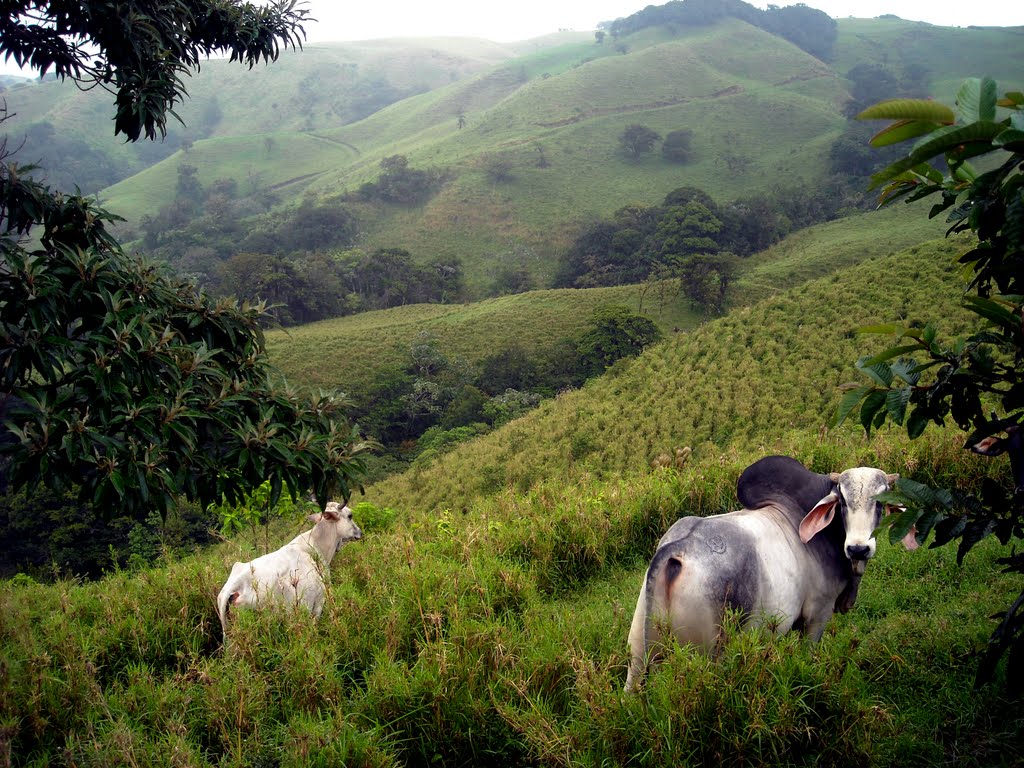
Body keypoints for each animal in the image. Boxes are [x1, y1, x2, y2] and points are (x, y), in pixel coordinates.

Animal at [622, 456, 921, 692]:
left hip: (638, 651)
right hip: (704, 656)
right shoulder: (818, 614)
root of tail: (676, 550)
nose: (858, 548)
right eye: (844, 502)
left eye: (880, 503)